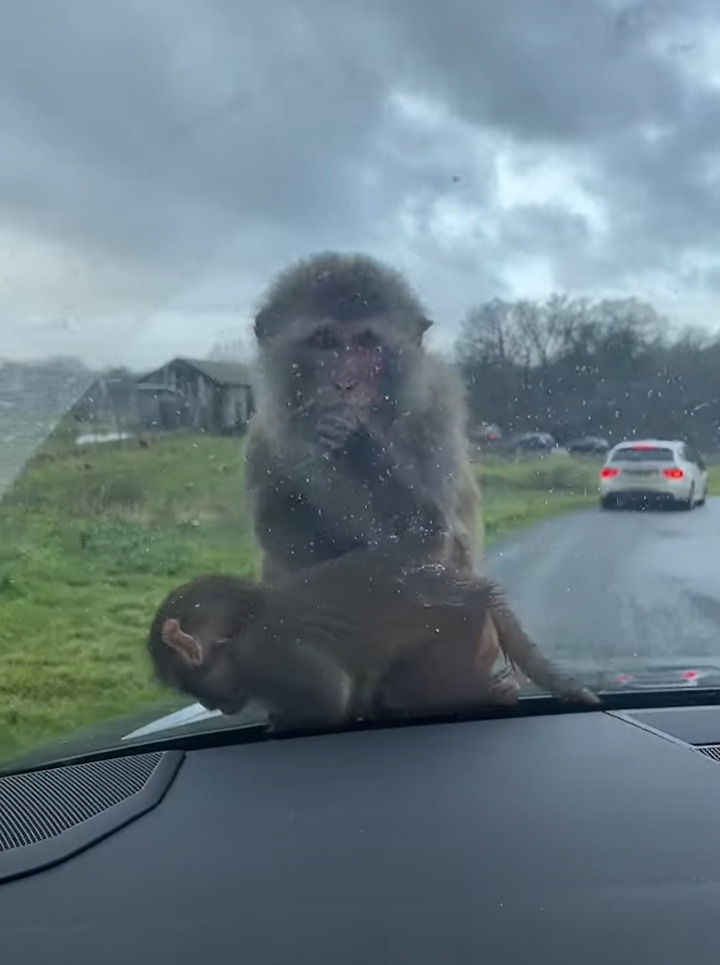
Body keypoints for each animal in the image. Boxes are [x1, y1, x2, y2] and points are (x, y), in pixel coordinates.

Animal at [146, 548, 596, 728]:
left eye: (192, 685)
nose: (211, 705)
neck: (241, 623)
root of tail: (476, 590)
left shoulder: (268, 654)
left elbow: (329, 695)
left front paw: (284, 720)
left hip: (456, 637)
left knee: (402, 691)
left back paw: (491, 694)